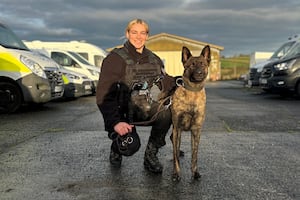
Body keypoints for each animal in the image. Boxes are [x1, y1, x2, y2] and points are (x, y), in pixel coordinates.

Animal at [171, 45, 211, 181]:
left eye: (203, 64)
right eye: (192, 65)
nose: (199, 73)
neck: (193, 92)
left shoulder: (196, 130)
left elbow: (195, 154)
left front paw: (195, 172)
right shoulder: (177, 128)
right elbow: (176, 155)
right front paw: (176, 173)